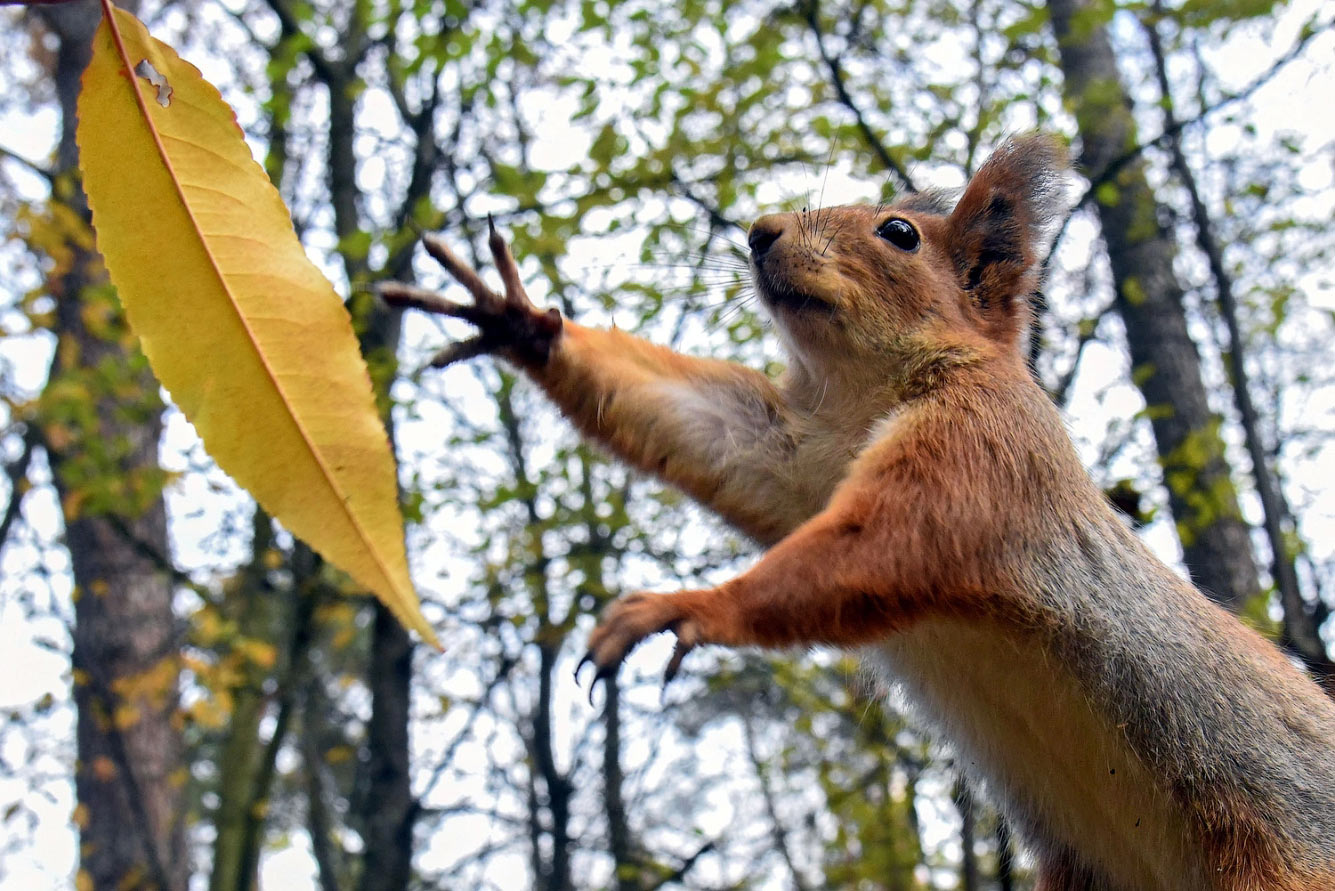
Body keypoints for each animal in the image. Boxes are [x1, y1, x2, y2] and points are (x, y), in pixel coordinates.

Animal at [384, 136, 1335, 886]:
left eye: (899, 234)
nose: (759, 230)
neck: (865, 394)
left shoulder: (983, 450)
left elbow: (885, 542)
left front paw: (688, 607)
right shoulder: (797, 456)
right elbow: (706, 433)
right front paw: (519, 320)